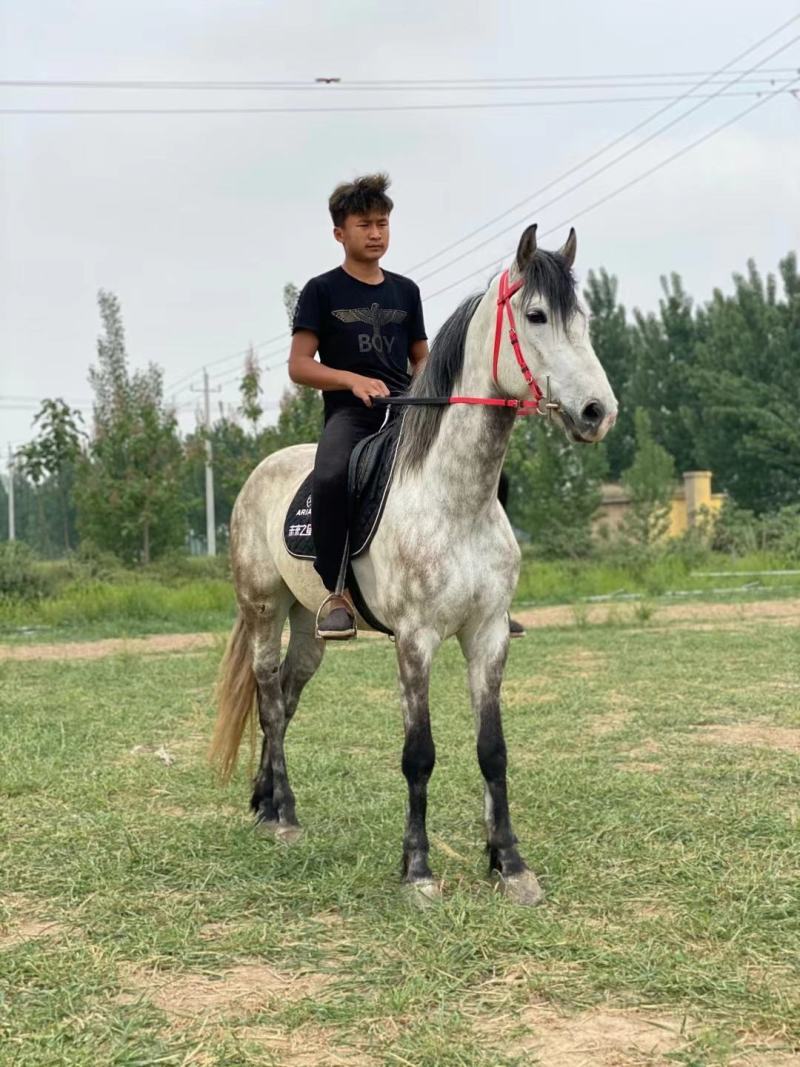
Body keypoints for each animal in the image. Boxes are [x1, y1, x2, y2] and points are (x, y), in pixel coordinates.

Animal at [210, 224, 617, 905]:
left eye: (583, 319)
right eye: (536, 316)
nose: (597, 412)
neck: (454, 498)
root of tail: (259, 473)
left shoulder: (487, 636)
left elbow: (493, 750)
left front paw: (509, 864)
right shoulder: (416, 640)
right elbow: (418, 754)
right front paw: (418, 871)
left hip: (309, 623)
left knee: (287, 697)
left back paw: (267, 803)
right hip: (263, 608)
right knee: (268, 696)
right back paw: (282, 816)